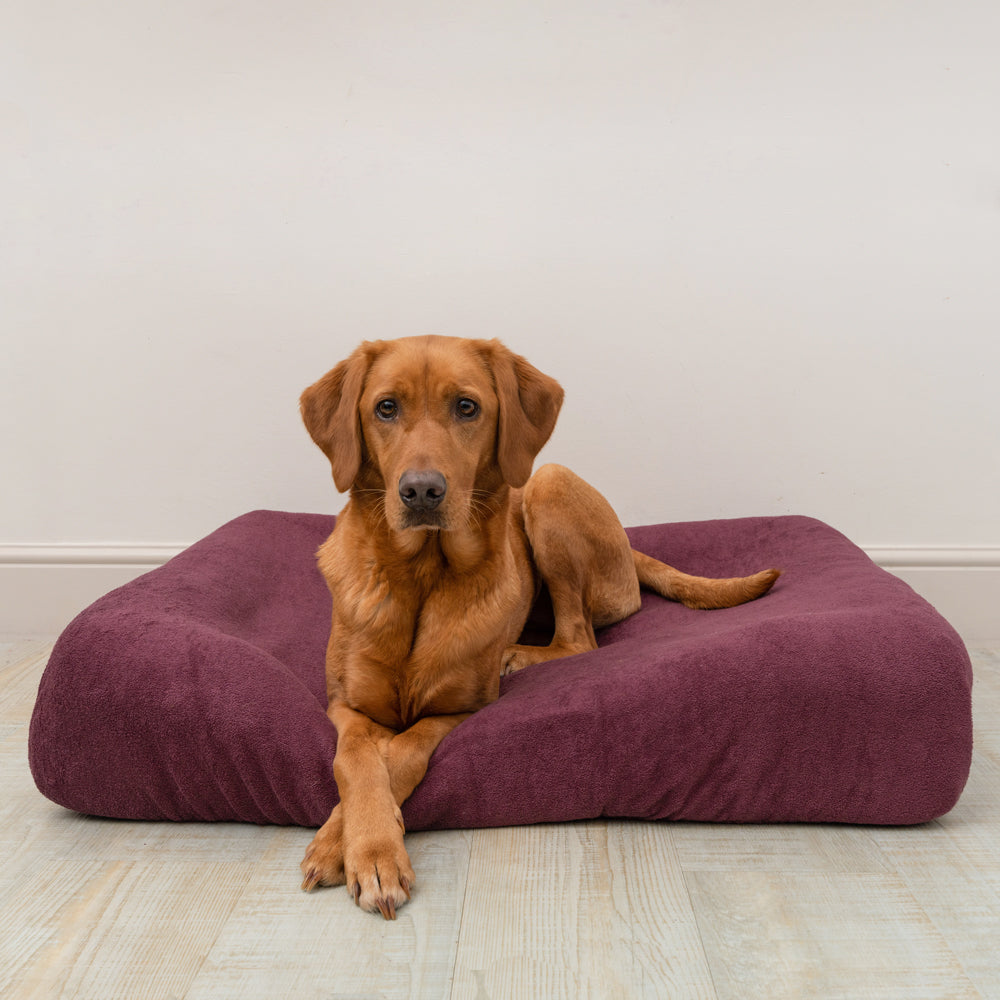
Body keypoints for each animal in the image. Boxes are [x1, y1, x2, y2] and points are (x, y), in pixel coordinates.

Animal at [296, 334, 780, 916]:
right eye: (385, 408)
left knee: (579, 637)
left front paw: (367, 849)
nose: (421, 492)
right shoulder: (346, 705)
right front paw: (347, 843)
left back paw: (521, 654)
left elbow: (403, 753)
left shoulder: (462, 708)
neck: (423, 575)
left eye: (467, 407)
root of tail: (629, 548)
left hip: (548, 483)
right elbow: (356, 762)